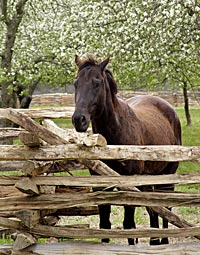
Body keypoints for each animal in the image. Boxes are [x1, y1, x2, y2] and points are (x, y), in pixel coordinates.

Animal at [72, 55, 182, 245]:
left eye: (97, 82)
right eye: (75, 83)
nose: (79, 119)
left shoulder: (129, 185)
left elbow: (129, 225)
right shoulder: (101, 186)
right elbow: (105, 224)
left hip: (167, 175)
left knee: (166, 209)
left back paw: (164, 241)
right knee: (154, 210)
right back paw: (154, 241)